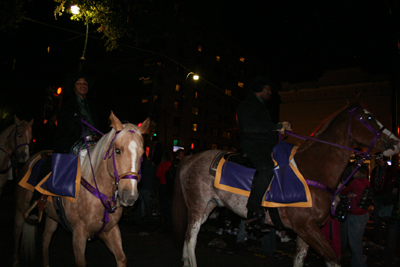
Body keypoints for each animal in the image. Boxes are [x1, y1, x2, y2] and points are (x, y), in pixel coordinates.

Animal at [13, 112, 150, 266]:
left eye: (142, 154)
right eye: (117, 150)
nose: (130, 196)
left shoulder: (110, 230)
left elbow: (121, 258)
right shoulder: (79, 234)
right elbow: (81, 262)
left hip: (52, 217)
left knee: (45, 239)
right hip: (21, 208)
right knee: (17, 232)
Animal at [172, 98, 400, 267]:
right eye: (369, 117)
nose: (396, 143)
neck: (313, 169)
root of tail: (190, 158)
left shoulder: (307, 230)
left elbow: (299, 259)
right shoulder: (306, 227)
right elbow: (333, 260)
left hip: (209, 206)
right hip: (198, 205)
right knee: (191, 239)